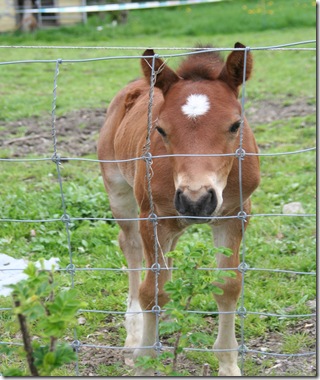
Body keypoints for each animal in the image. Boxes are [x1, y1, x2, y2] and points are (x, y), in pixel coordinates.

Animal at [97, 43, 260, 376]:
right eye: (160, 129)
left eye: (235, 125)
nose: (195, 200)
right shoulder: (153, 217)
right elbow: (152, 291)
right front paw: (144, 361)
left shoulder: (234, 215)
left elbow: (227, 285)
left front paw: (228, 365)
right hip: (119, 192)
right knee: (131, 248)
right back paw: (134, 334)